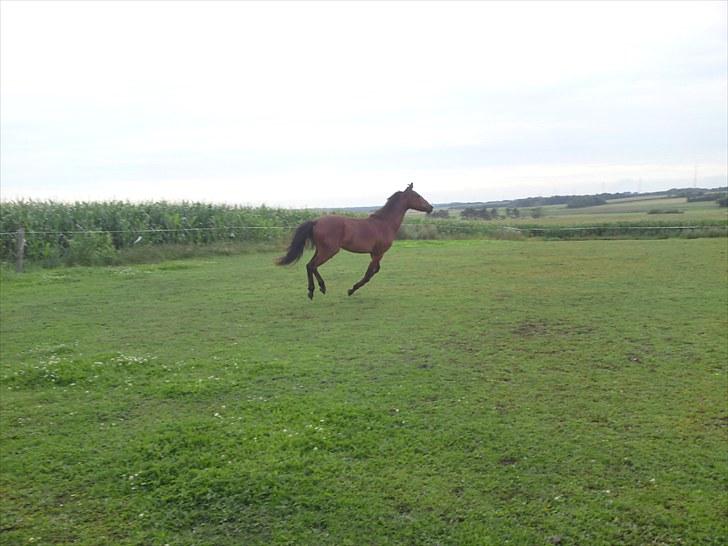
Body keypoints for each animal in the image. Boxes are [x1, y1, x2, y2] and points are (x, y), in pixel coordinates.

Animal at [274, 185, 432, 300]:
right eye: (417, 196)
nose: (430, 207)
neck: (384, 223)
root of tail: (316, 222)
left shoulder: (374, 254)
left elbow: (375, 271)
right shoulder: (378, 253)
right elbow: (368, 275)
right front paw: (351, 290)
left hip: (321, 250)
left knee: (309, 265)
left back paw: (314, 290)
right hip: (329, 251)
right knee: (312, 266)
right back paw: (318, 289)